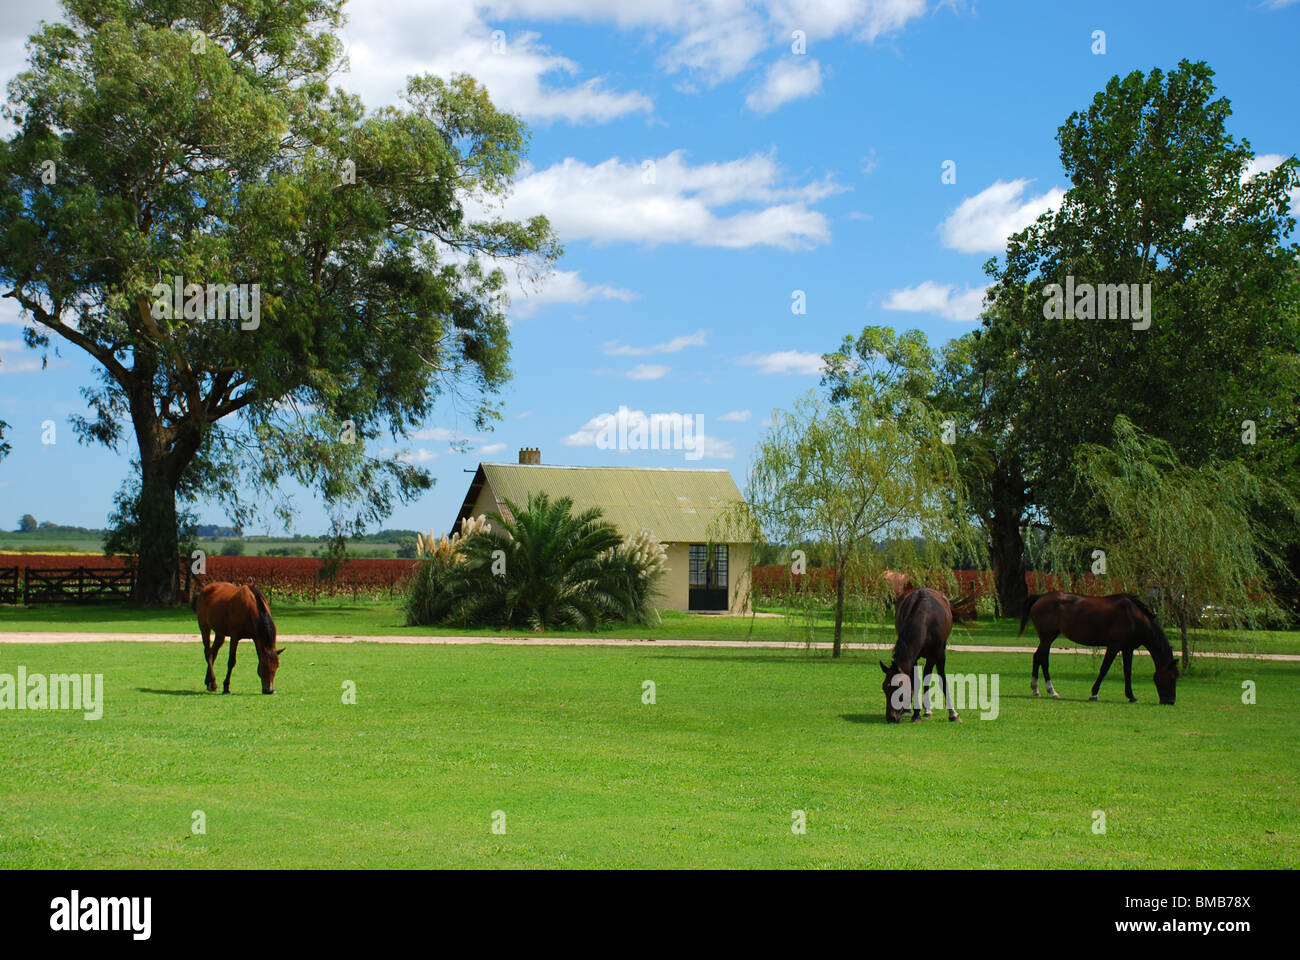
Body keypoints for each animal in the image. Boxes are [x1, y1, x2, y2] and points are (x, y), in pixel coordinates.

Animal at [878, 582, 961, 723]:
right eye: (884, 687)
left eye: (898, 687)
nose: (891, 717)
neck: (926, 618)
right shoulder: (914, 658)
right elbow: (914, 681)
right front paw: (916, 714)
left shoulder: (939, 654)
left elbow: (942, 680)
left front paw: (953, 713)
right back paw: (910, 710)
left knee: (927, 674)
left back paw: (927, 710)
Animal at [1019, 590, 1185, 702]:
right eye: (1171, 677)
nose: (1170, 701)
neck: (1133, 617)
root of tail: (1040, 597)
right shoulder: (1114, 646)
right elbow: (1104, 669)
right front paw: (1094, 693)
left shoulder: (1128, 648)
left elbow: (1127, 671)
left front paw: (1131, 696)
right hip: (1047, 637)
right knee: (1042, 659)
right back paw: (1051, 690)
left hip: (1049, 637)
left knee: (1038, 657)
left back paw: (1037, 689)